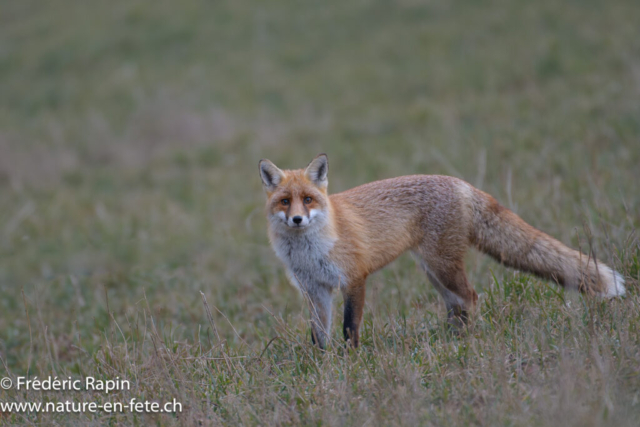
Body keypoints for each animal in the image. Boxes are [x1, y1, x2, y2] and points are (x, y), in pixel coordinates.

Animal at [259, 153, 625, 349]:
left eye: (308, 199)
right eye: (284, 201)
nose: (296, 219)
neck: (309, 250)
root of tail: (460, 183)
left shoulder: (354, 279)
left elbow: (350, 328)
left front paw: (350, 362)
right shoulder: (314, 289)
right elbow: (318, 335)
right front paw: (322, 368)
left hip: (442, 266)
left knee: (471, 297)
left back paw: (466, 341)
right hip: (433, 270)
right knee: (456, 304)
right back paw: (449, 340)